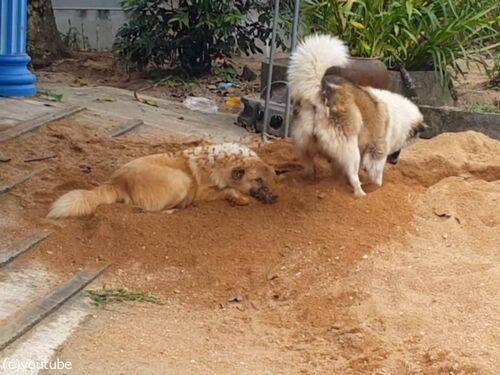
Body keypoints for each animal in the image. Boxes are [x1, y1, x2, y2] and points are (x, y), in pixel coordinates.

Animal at [47, 144, 278, 220]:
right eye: (258, 180)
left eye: (269, 180)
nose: (276, 198)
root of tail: (117, 182)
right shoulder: (202, 192)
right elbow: (226, 190)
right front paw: (239, 198)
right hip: (180, 181)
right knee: (148, 211)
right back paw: (175, 210)